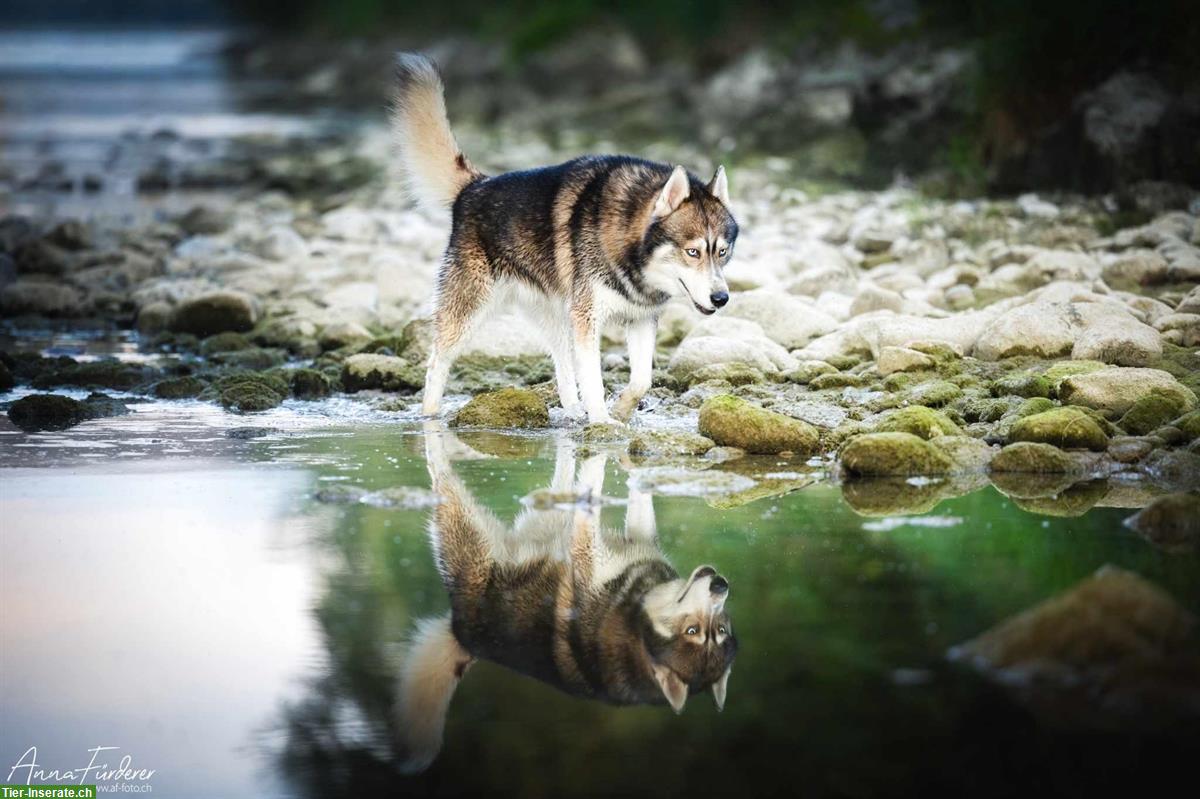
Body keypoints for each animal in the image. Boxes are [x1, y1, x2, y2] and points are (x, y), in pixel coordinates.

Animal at [388, 55, 734, 422]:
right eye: (693, 252)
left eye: (722, 252)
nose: (721, 298)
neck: (625, 241)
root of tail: (473, 186)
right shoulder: (588, 320)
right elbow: (594, 381)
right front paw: (603, 423)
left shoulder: (640, 320)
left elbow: (642, 381)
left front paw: (620, 411)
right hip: (468, 314)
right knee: (436, 363)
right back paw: (429, 417)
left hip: (556, 318)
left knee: (563, 368)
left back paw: (572, 412)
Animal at [396, 422, 729, 772]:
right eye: (694, 630)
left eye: (721, 628)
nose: (721, 585)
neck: (636, 611)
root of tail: (462, 635)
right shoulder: (595, 547)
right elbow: (598, 484)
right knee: (441, 467)